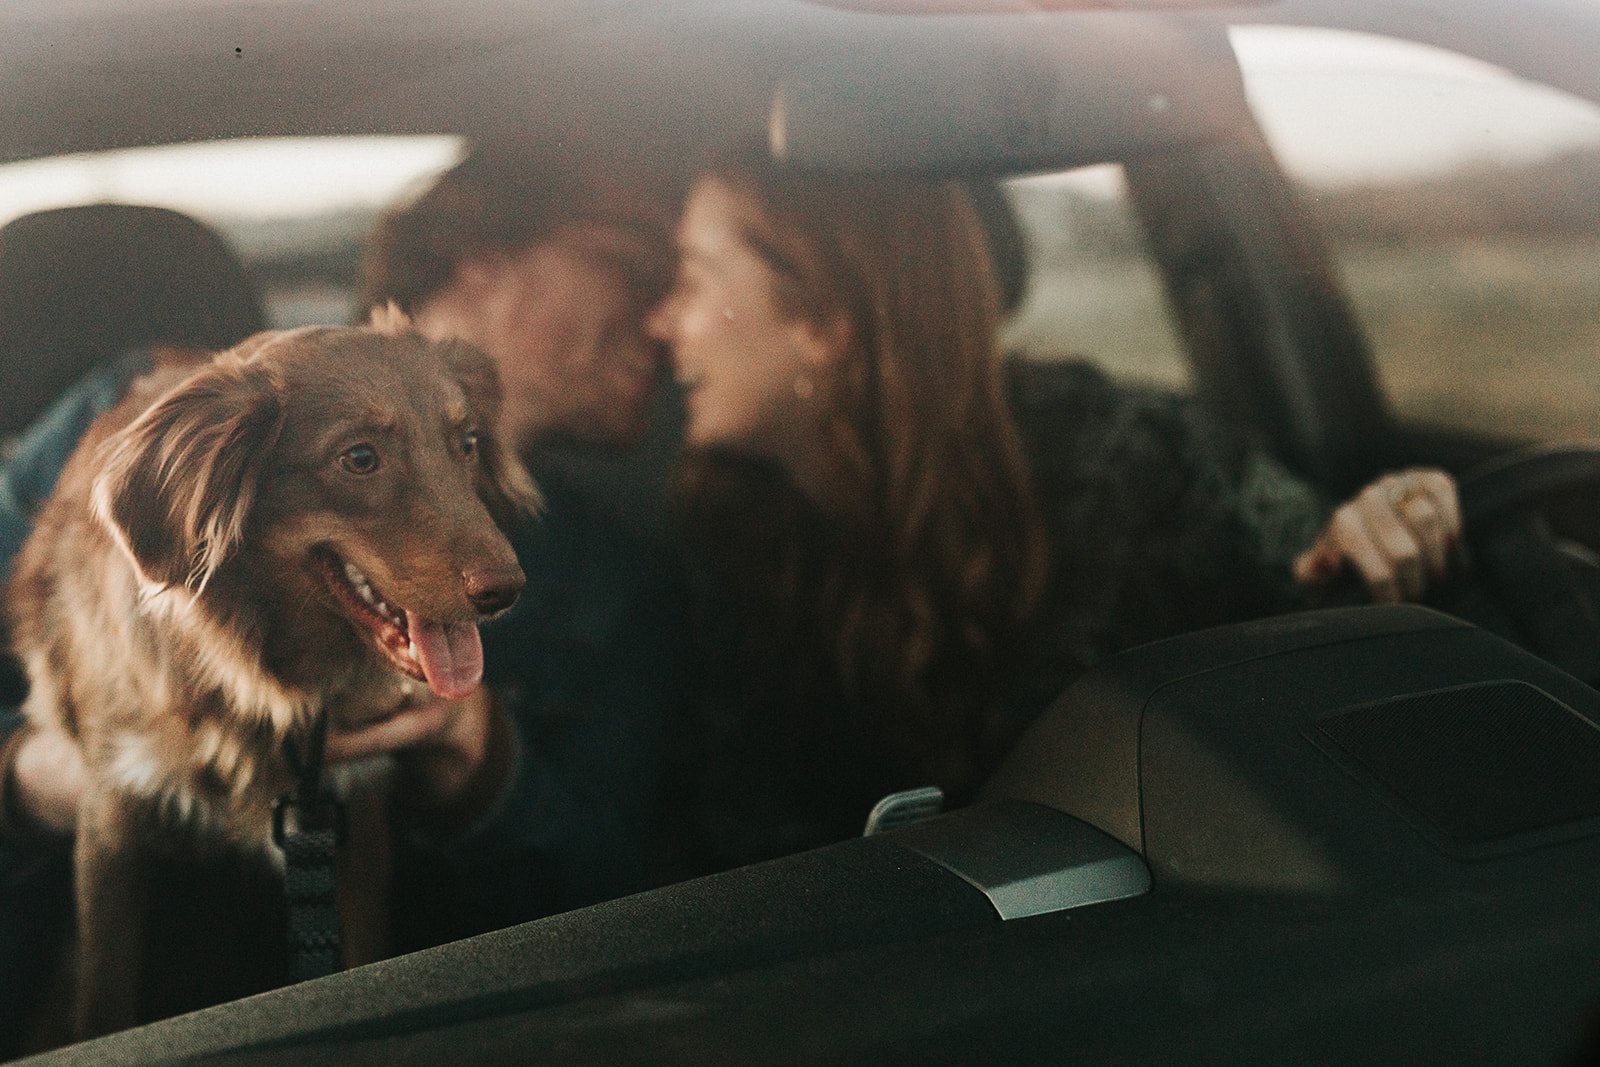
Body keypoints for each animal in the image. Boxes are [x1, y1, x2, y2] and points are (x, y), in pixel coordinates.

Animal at [6, 313, 537, 1036]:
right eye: (360, 458)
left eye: (468, 442)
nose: (507, 591)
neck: (263, 670)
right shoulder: (113, 812)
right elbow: (106, 991)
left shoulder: (352, 811)